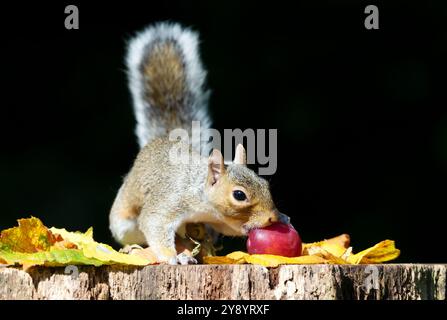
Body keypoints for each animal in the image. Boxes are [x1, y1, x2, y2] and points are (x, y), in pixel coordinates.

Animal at [110, 23, 288, 264]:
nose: (272, 217)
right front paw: (172, 257)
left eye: (265, 184)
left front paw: (283, 216)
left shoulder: (219, 222)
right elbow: (154, 223)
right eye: (239, 195)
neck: (202, 197)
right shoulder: (171, 200)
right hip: (125, 223)